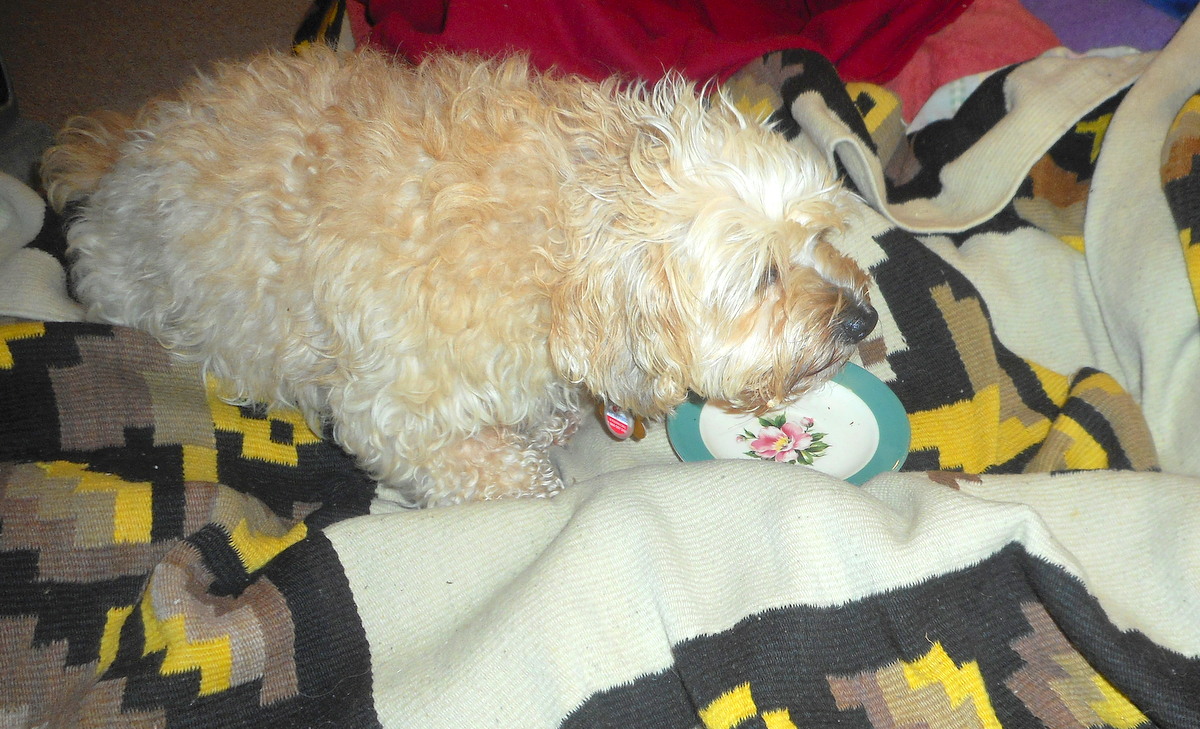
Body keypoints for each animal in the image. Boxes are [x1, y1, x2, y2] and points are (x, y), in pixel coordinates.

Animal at [42, 47, 878, 505]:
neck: (561, 241)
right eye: (763, 275)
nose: (863, 320)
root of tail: (125, 146)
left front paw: (548, 419)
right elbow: (499, 469)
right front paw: (534, 474)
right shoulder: (393, 412)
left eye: (821, 235)